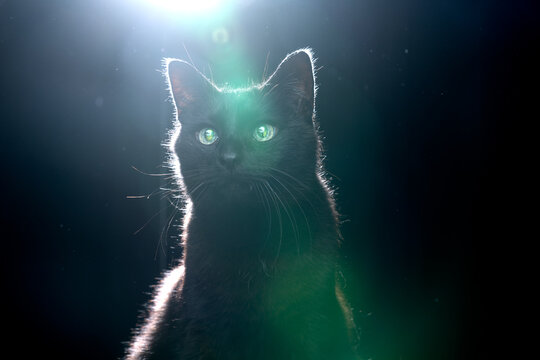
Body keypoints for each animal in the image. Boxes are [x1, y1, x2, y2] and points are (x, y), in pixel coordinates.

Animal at [126, 48, 358, 360]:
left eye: (263, 132)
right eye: (208, 136)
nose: (229, 157)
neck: (250, 234)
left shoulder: (310, 322)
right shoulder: (202, 328)